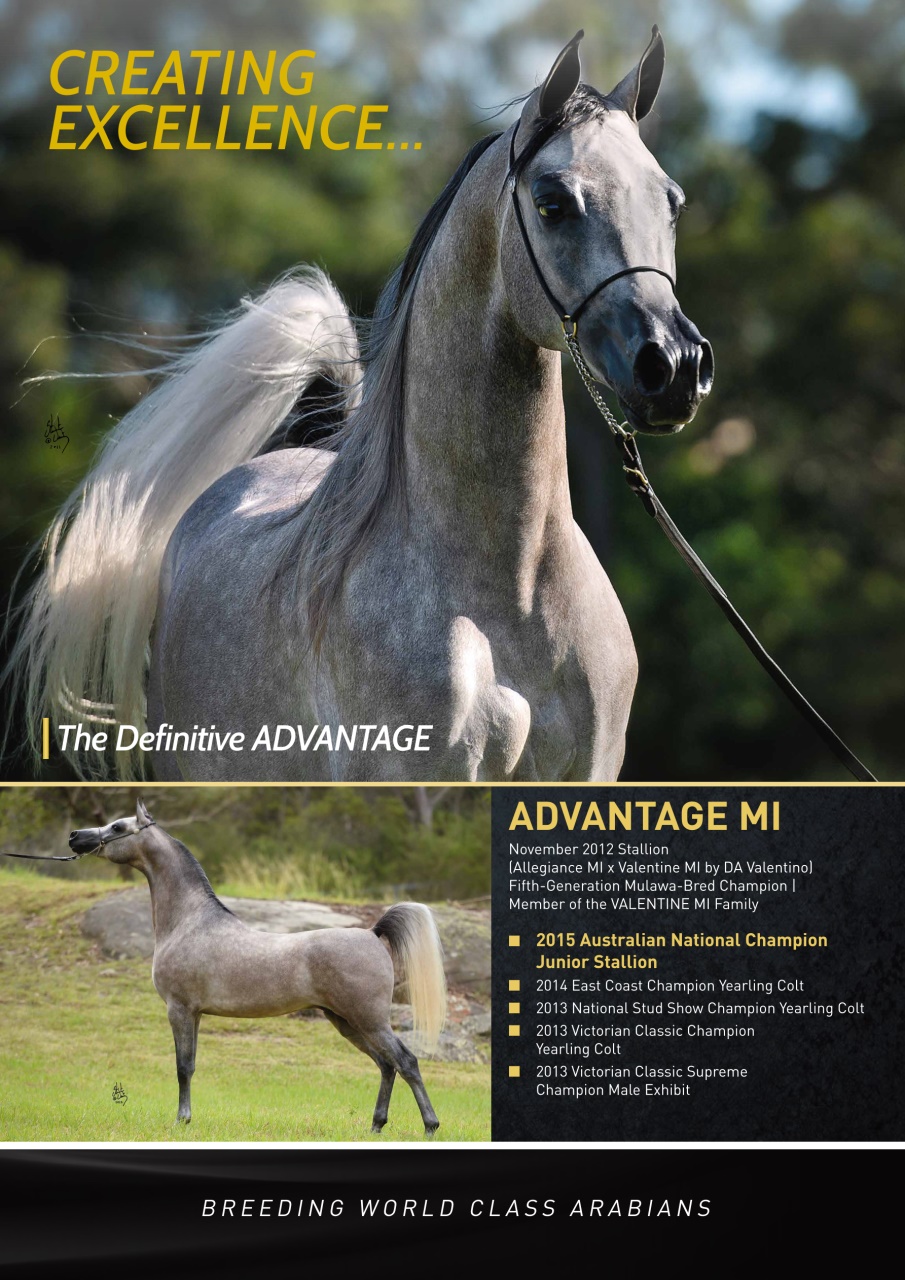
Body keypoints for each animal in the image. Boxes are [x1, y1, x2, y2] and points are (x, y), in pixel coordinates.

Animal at [68, 800, 447, 1136]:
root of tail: (372, 933)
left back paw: (430, 1126)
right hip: (347, 1021)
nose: (75, 836)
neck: (189, 921)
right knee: (386, 1065)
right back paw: (376, 1125)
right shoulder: (195, 1013)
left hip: (369, 1020)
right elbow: (191, 1065)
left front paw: (181, 1121)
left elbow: (182, 1068)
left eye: (118, 827)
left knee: (406, 1061)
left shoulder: (179, 1009)